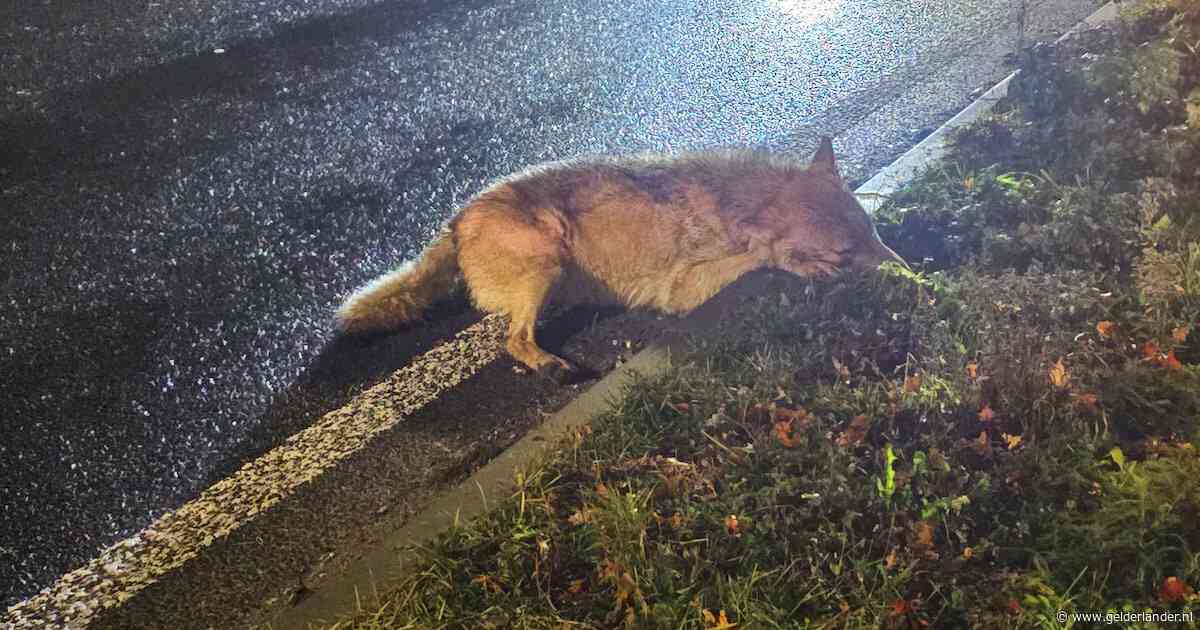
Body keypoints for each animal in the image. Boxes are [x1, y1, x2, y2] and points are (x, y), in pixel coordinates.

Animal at [336, 138, 905, 381]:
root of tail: (455, 221)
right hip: (548, 259)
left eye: (872, 233)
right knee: (513, 341)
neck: (738, 200)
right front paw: (798, 264)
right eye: (845, 252)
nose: (911, 272)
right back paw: (549, 365)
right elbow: (763, 257)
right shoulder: (682, 289)